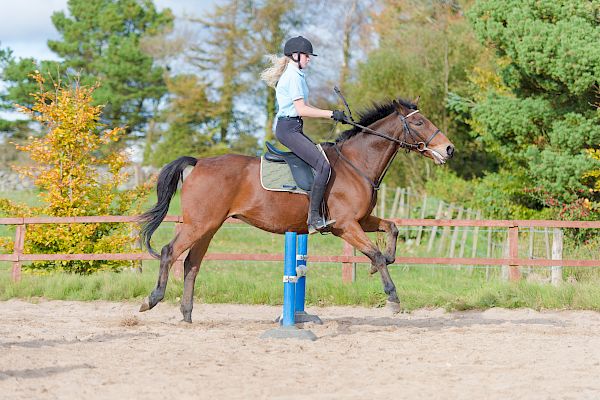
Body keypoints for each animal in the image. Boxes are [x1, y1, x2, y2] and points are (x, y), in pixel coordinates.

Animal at [137, 97, 454, 322]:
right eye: (420, 122)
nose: (449, 149)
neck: (357, 164)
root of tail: (198, 163)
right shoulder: (345, 226)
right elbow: (375, 253)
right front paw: (392, 297)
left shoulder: (361, 220)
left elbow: (392, 229)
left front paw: (382, 264)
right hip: (198, 224)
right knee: (169, 252)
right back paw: (151, 299)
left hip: (209, 226)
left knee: (191, 264)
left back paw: (187, 314)